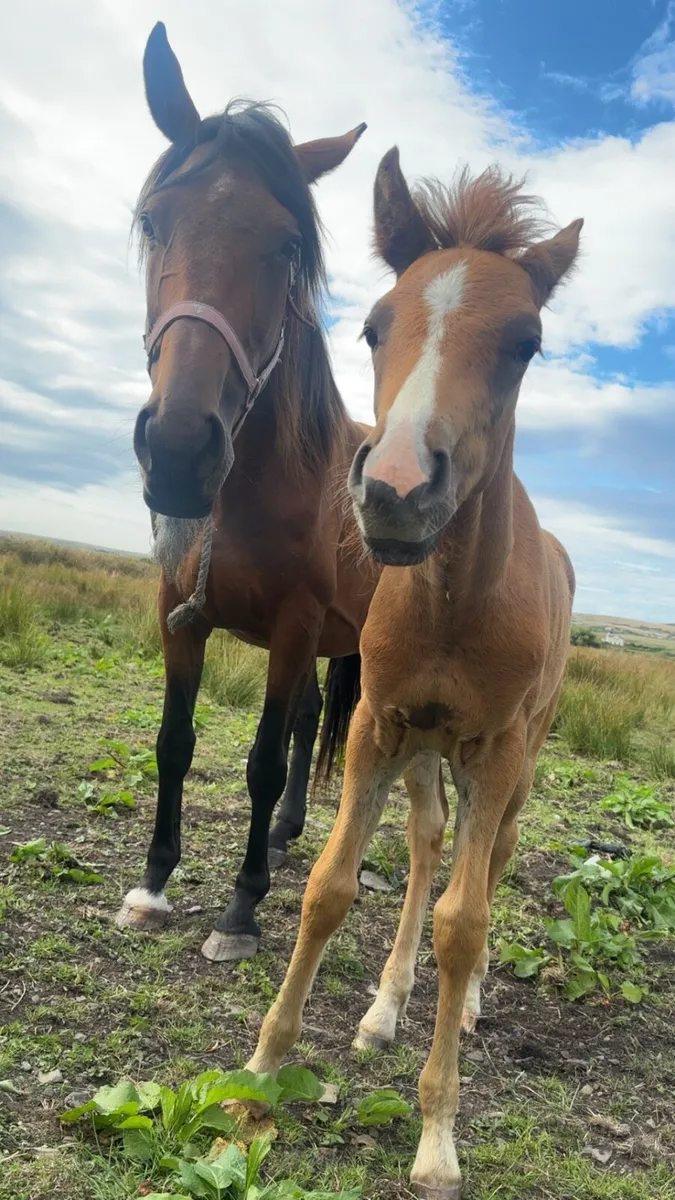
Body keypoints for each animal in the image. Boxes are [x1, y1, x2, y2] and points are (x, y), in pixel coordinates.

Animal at [116, 22, 379, 962]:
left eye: (287, 247)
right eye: (154, 221)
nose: (178, 450)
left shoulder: (299, 625)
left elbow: (260, 759)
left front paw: (240, 905)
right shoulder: (176, 611)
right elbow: (173, 741)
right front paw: (154, 879)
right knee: (309, 722)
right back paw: (288, 829)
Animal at [248, 149, 582, 1197]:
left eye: (526, 343)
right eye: (372, 325)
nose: (395, 489)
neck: (451, 605)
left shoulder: (498, 746)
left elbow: (464, 924)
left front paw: (436, 1137)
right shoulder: (377, 722)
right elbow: (328, 886)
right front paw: (261, 1067)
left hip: (514, 760)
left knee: (488, 859)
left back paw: (462, 1006)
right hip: (427, 750)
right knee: (431, 845)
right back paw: (385, 1006)